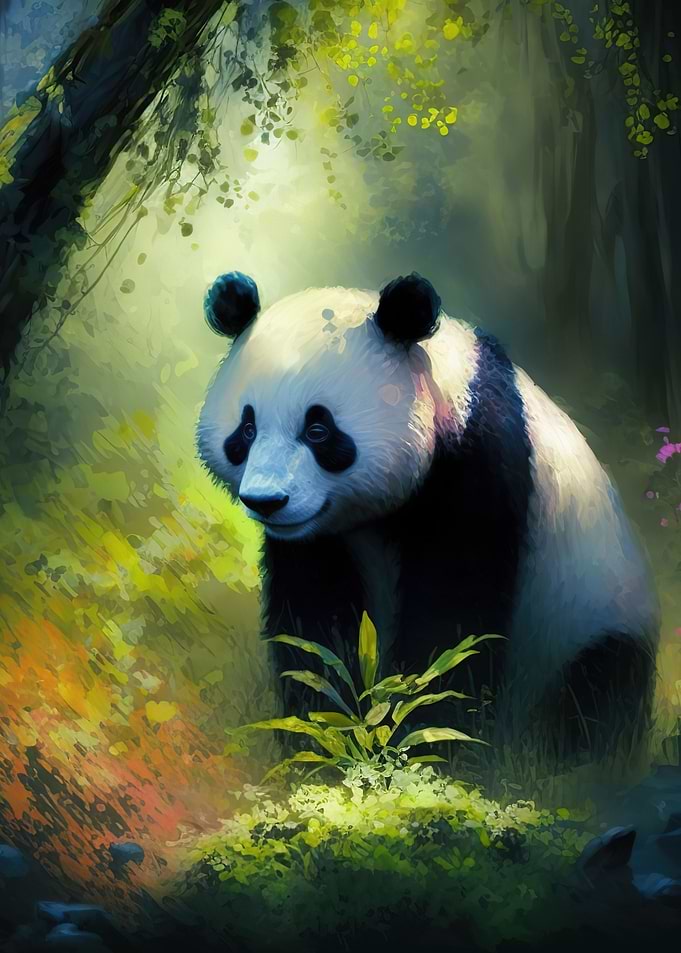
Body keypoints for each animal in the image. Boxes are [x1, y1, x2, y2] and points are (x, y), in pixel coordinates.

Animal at [197, 271, 659, 761]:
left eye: (319, 430)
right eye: (247, 429)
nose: (266, 500)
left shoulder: (478, 461)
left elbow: (454, 611)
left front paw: (431, 739)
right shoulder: (317, 539)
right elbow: (315, 621)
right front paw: (322, 737)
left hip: (591, 610)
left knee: (595, 691)